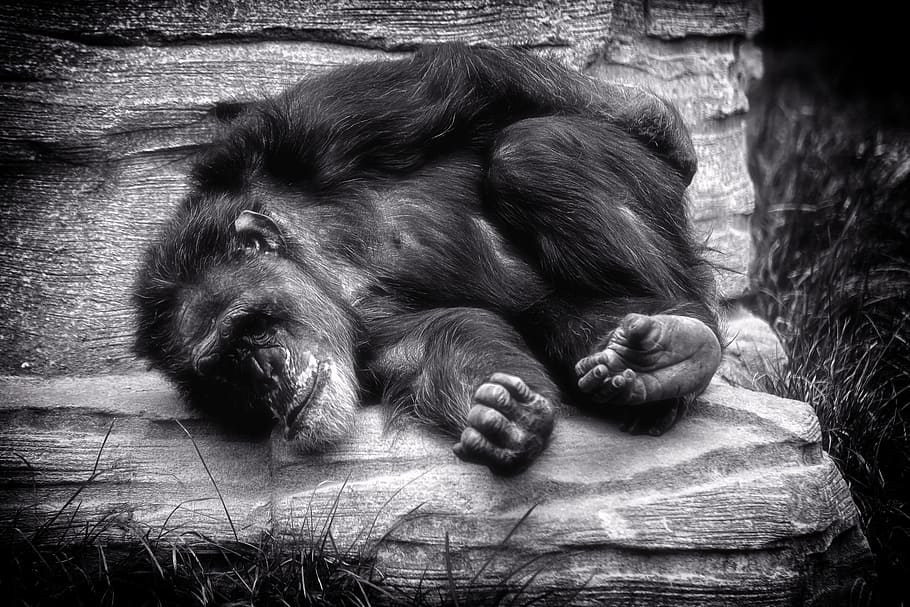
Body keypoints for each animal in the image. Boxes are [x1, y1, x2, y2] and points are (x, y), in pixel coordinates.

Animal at [133, 43, 722, 475]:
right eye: (224, 372)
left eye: (248, 329)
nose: (263, 373)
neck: (319, 259)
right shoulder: (370, 348)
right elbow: (448, 340)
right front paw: (503, 421)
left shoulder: (314, 123)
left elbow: (470, 80)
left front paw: (665, 128)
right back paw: (654, 366)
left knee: (532, 149)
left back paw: (682, 338)